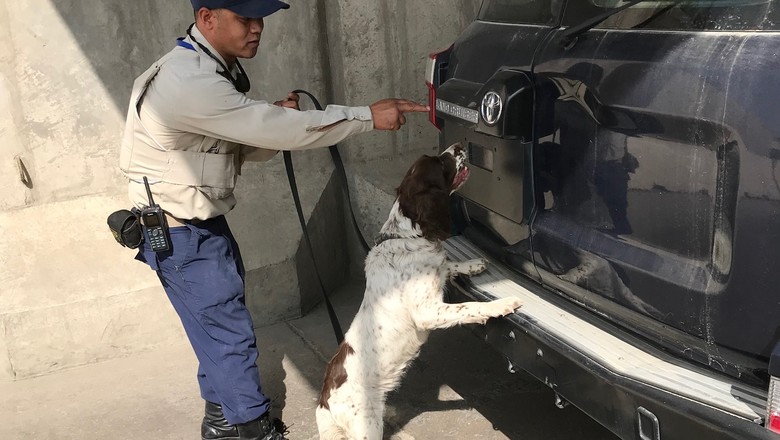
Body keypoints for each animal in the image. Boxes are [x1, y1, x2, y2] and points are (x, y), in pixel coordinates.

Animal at [315, 143, 523, 440]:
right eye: (440, 162)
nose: (459, 146)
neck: (407, 235)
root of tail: (323, 400)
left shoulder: (436, 272)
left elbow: (447, 264)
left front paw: (474, 264)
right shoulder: (428, 312)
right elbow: (469, 307)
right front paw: (501, 305)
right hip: (366, 424)